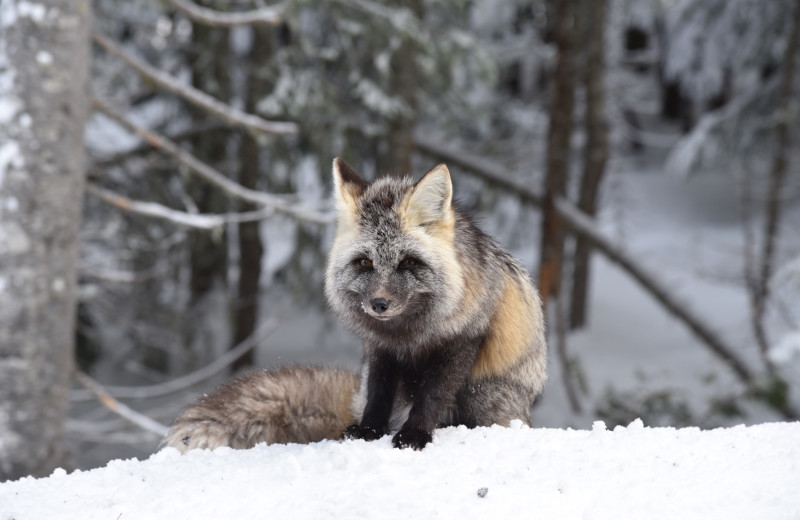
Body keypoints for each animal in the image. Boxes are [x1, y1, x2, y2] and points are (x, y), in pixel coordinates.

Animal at [164, 157, 552, 450]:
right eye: (365, 263)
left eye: (408, 263)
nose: (379, 304)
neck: (409, 334)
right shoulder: (379, 348)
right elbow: (378, 396)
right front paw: (368, 432)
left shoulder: (461, 342)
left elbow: (431, 396)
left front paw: (414, 434)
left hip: (484, 393)